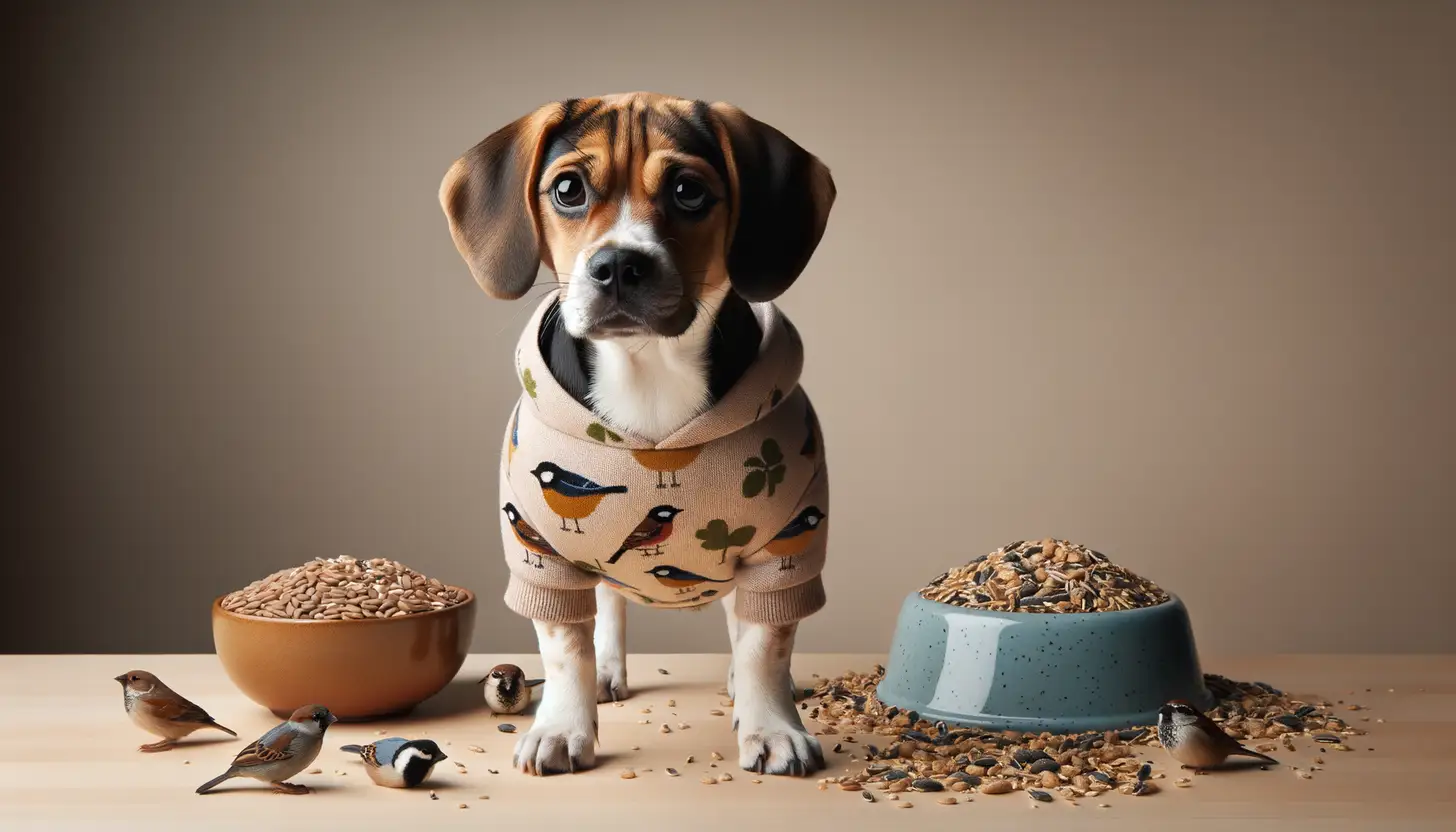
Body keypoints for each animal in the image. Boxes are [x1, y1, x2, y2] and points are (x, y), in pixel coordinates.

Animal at [436, 94, 838, 781]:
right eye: (568, 189)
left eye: (688, 191)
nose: (619, 264)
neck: (647, 374)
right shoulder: (541, 554)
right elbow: (565, 648)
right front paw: (562, 727)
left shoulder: (786, 548)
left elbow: (766, 646)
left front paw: (773, 726)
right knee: (608, 605)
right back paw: (607, 670)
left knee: (740, 623)